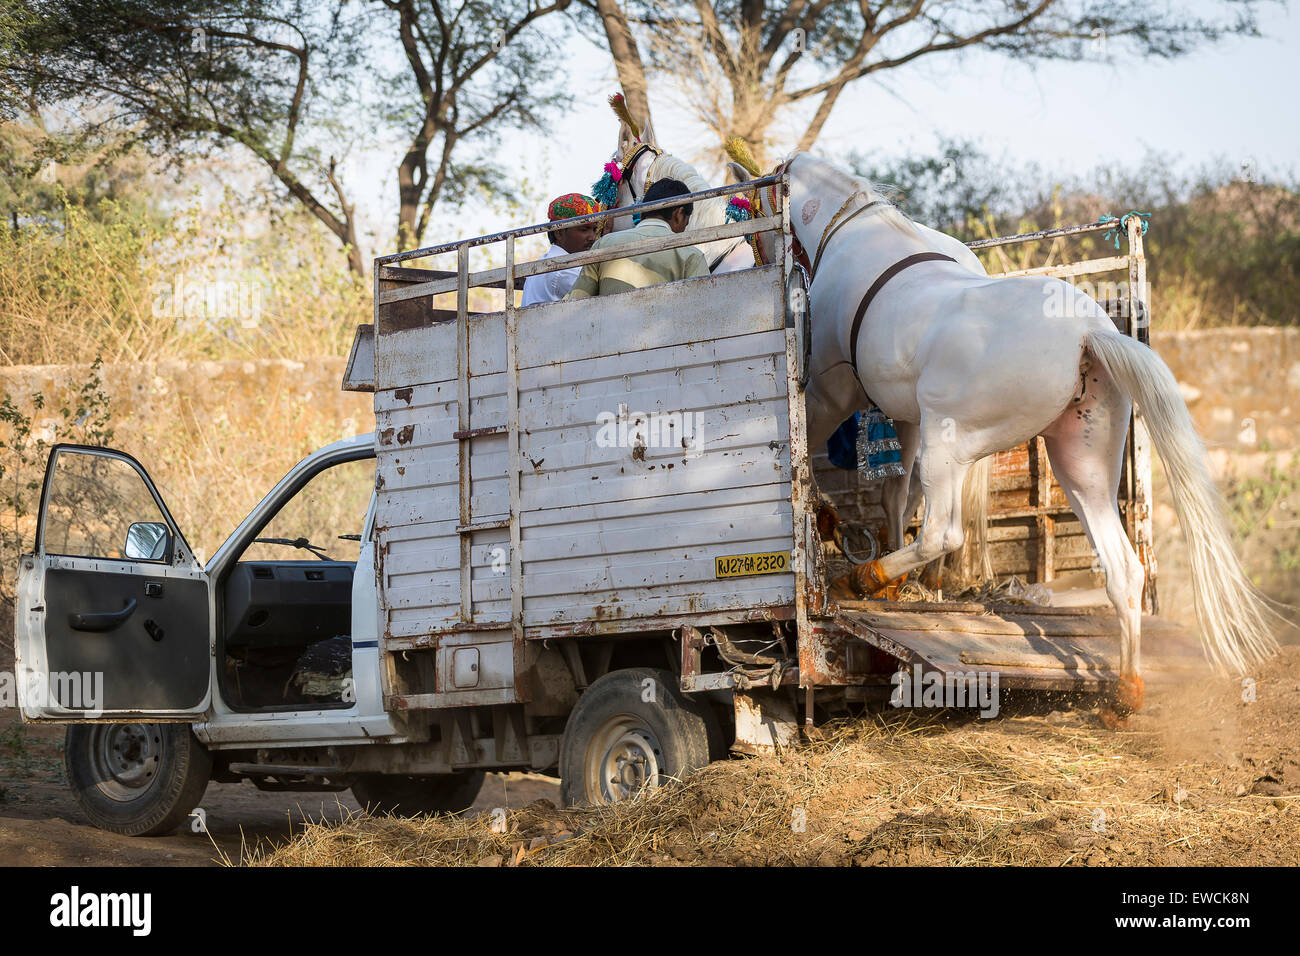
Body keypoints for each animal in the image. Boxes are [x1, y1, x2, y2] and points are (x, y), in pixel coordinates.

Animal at [728, 149, 1282, 726]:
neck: (854, 230)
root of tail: (1088, 334)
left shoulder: (833, 392)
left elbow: (815, 455)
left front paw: (823, 518)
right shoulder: (903, 416)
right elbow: (893, 495)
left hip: (949, 446)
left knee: (944, 533)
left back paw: (861, 580)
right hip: (1079, 466)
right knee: (1123, 569)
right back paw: (1125, 693)